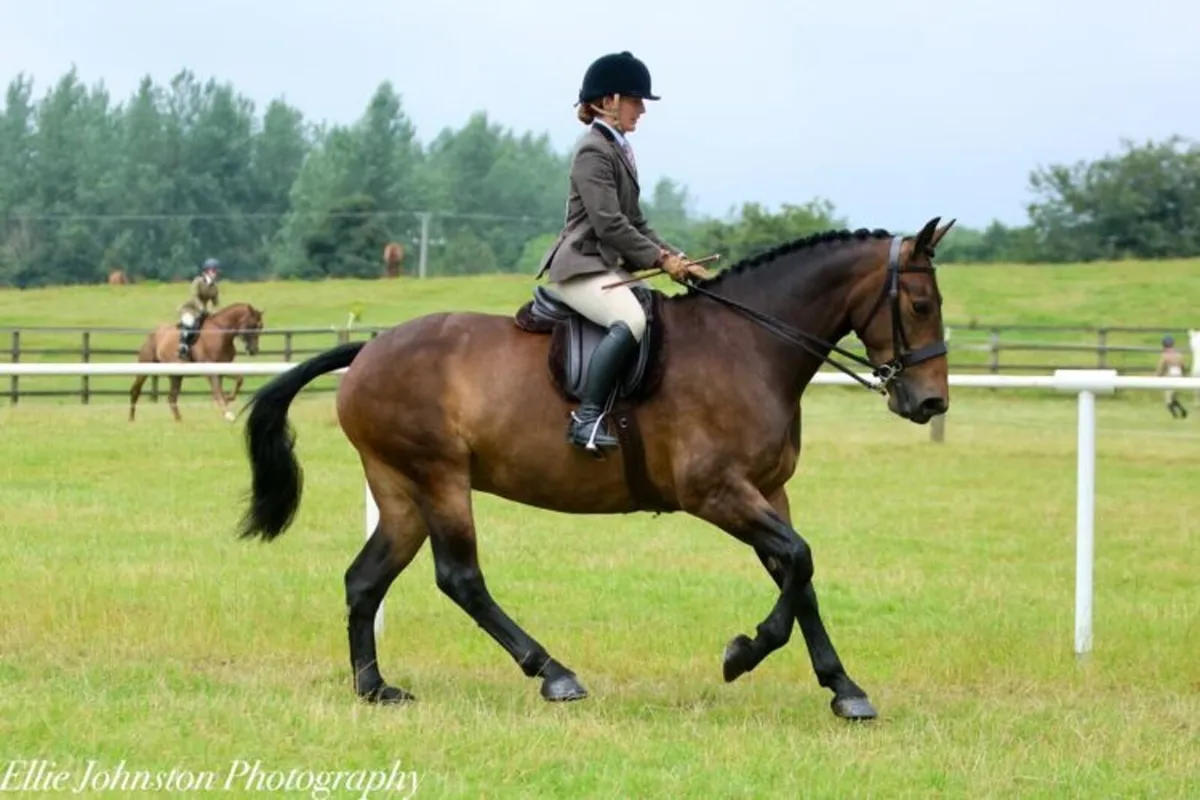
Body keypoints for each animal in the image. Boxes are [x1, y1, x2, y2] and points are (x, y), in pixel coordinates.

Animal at [129, 303, 265, 423]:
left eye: (261, 327)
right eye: (252, 325)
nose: (253, 350)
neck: (220, 332)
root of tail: (153, 333)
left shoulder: (223, 366)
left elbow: (238, 380)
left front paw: (228, 399)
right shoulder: (210, 368)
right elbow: (218, 391)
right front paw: (228, 414)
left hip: (176, 375)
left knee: (172, 397)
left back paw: (179, 420)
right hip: (146, 366)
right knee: (136, 390)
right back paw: (131, 419)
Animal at [236, 217, 956, 722]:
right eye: (921, 305)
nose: (930, 403)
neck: (748, 345)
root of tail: (368, 350)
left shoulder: (768, 492)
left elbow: (797, 574)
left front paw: (844, 688)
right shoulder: (716, 492)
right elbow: (799, 561)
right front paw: (741, 653)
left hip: (401, 490)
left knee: (365, 579)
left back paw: (375, 688)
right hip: (439, 479)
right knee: (460, 577)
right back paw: (553, 673)